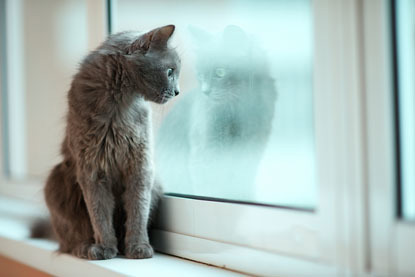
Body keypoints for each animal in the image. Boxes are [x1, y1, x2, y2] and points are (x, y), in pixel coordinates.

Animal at [37, 25, 182, 258]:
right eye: (170, 71)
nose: (177, 92)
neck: (119, 104)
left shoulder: (140, 166)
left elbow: (138, 211)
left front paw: (138, 247)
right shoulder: (92, 169)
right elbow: (99, 214)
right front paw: (105, 247)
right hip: (56, 179)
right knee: (71, 237)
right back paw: (84, 247)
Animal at [156, 25, 276, 198]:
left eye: (220, 72)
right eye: (200, 74)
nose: (205, 91)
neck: (238, 109)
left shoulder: (253, 145)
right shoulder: (207, 146)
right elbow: (210, 184)